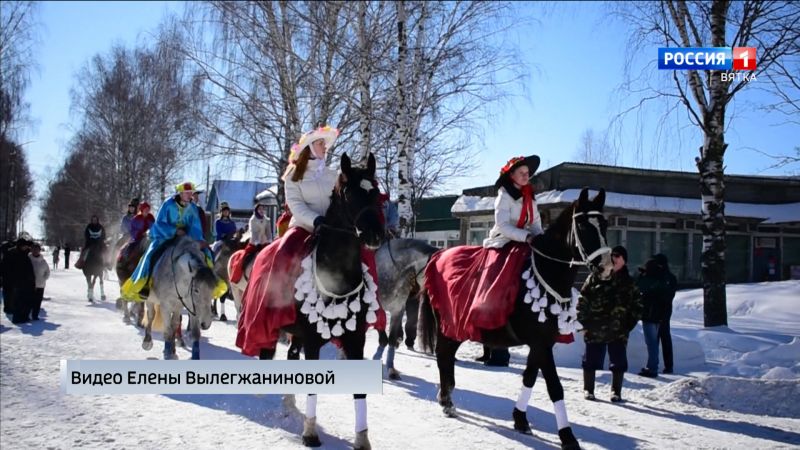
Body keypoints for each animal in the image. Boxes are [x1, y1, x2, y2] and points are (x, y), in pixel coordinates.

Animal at [248, 153, 386, 448]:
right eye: (350, 193)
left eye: (376, 192)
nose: (375, 235)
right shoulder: (312, 339)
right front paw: (310, 433)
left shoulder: (355, 339)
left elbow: (360, 391)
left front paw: (362, 438)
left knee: (291, 356)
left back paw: (289, 401)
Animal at [418, 188, 612, 450]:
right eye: (582, 226)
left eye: (605, 225)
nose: (607, 267)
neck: (547, 272)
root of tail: (439, 254)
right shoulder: (540, 343)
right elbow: (554, 386)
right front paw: (567, 436)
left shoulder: (542, 343)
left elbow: (529, 377)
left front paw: (520, 419)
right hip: (449, 326)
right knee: (443, 357)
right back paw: (447, 402)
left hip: (457, 328)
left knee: (446, 358)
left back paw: (446, 398)